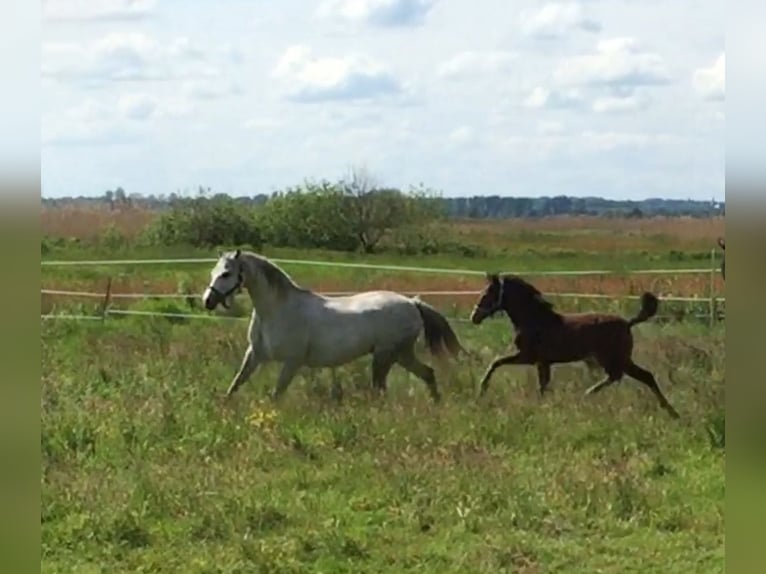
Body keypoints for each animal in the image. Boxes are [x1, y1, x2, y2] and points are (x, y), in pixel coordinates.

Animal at [472, 272, 680, 420]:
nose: (474, 317)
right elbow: (543, 385)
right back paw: (672, 412)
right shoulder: (542, 362)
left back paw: (587, 394)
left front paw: (482, 388)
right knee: (644, 376)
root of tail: (627, 323)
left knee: (619, 376)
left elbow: (496, 362)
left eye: (487, 294)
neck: (535, 320)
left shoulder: (528, 357)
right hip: (621, 359)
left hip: (611, 359)